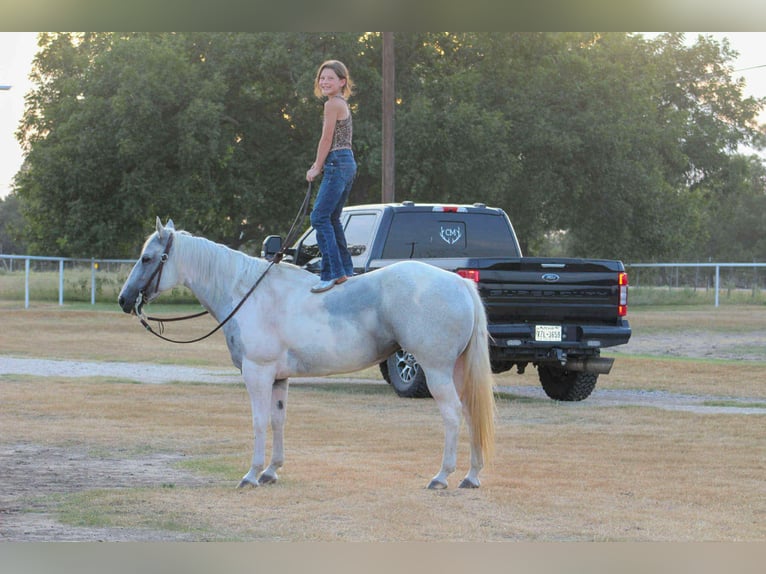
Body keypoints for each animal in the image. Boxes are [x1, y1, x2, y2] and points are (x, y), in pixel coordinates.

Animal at [118, 218, 496, 489]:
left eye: (147, 258)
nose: (124, 300)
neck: (248, 292)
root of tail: (459, 282)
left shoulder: (256, 373)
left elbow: (258, 421)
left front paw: (251, 475)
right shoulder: (278, 378)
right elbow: (278, 420)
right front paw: (271, 471)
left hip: (435, 371)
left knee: (452, 415)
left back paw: (441, 476)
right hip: (456, 371)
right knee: (471, 413)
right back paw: (471, 476)